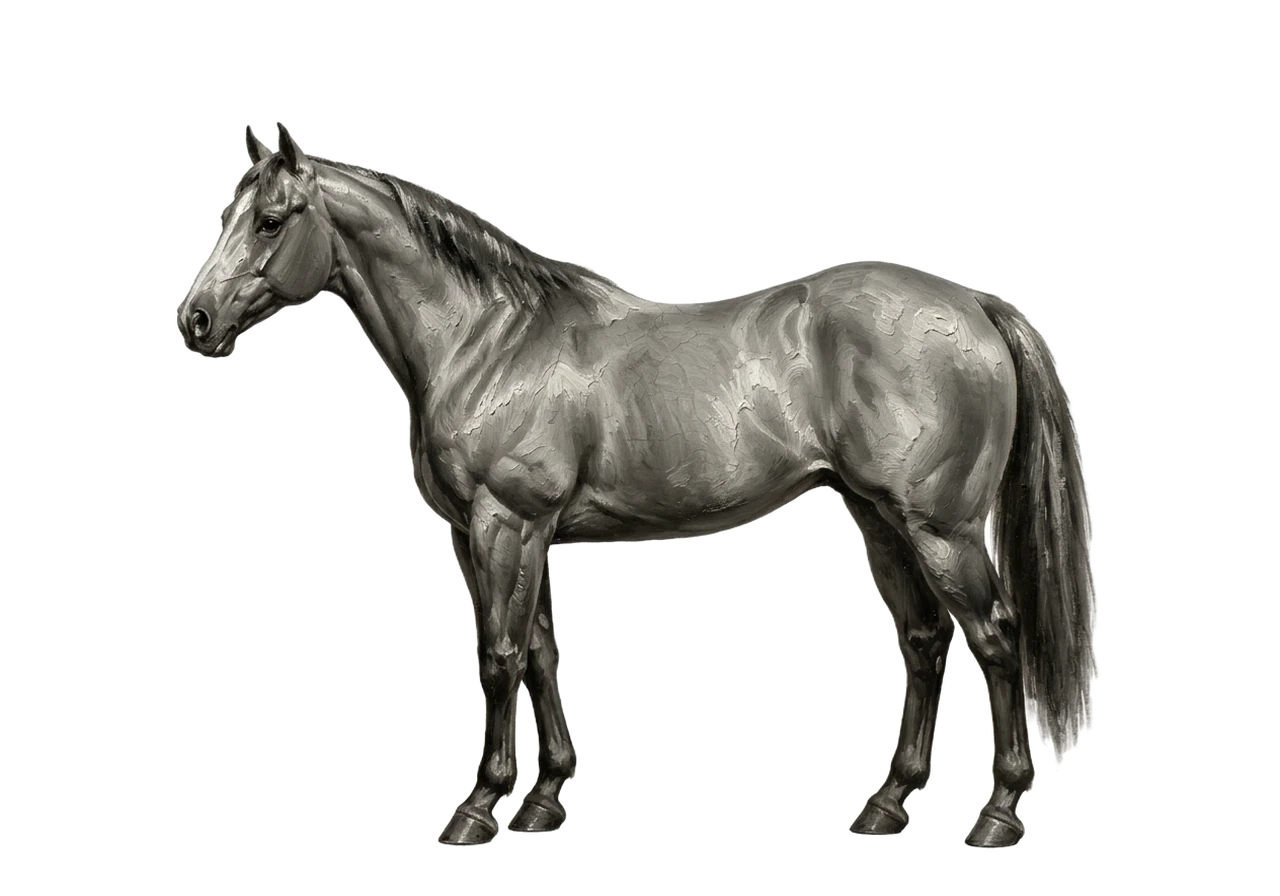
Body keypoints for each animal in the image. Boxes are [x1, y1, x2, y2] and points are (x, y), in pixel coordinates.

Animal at [174, 121, 1097, 849]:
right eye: (226, 214)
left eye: (271, 219)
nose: (197, 321)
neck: (488, 340)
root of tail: (976, 306)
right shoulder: (497, 534)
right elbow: (540, 652)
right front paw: (543, 801)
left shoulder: (506, 523)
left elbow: (499, 656)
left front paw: (477, 810)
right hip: (878, 516)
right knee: (924, 639)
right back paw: (886, 805)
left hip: (940, 526)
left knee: (996, 638)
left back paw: (997, 815)